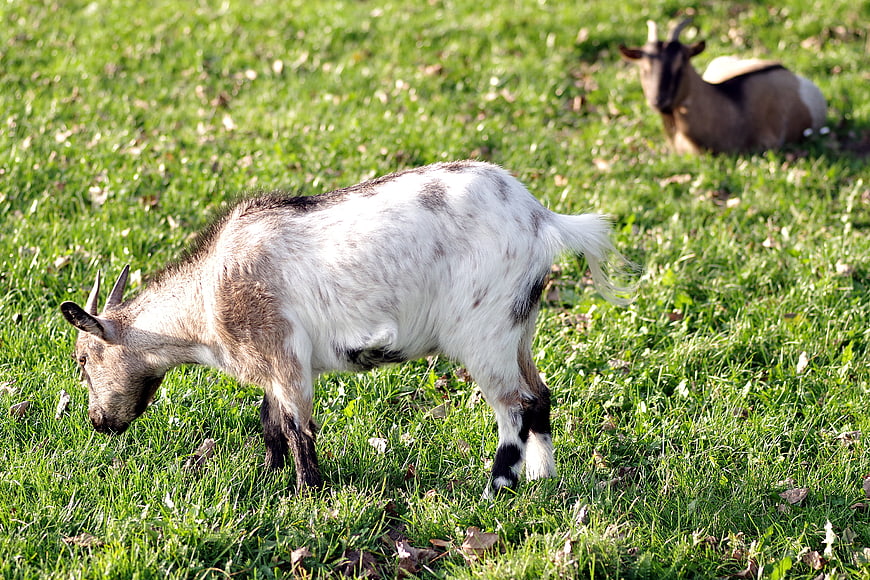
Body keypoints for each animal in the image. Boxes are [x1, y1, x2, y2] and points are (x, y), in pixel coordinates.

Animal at [60, 160, 631, 495]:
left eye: (83, 360)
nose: (98, 422)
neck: (207, 298)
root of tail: (542, 220)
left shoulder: (284, 355)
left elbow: (297, 427)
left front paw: (308, 494)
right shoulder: (277, 364)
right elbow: (270, 423)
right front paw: (268, 476)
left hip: (484, 332)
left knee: (512, 407)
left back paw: (496, 488)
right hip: (520, 327)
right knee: (539, 395)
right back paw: (541, 476)